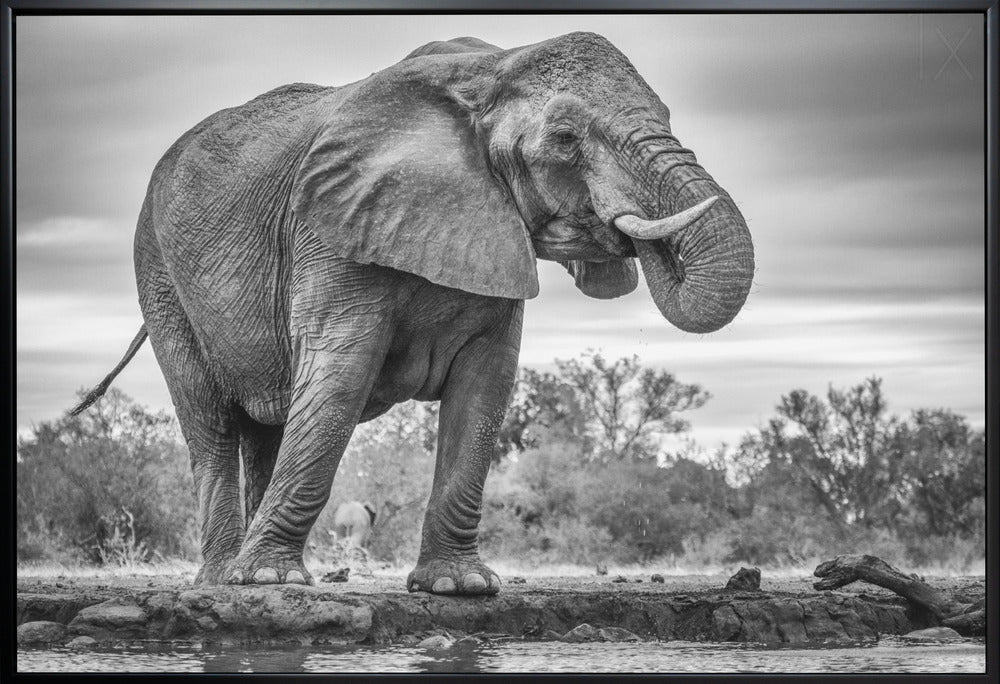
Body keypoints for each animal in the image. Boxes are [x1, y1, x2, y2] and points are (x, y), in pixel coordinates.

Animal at [71, 32, 754, 595]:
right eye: (564, 137)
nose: (637, 235)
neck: (488, 70)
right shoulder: (328, 228)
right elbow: (340, 375)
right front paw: (268, 582)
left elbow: (486, 387)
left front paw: (460, 587)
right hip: (159, 271)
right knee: (210, 421)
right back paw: (224, 581)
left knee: (266, 425)